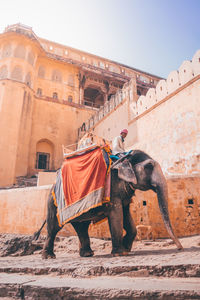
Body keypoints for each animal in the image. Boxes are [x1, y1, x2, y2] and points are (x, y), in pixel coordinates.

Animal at [34, 150, 183, 258]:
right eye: (149, 166)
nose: (180, 248)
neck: (123, 158)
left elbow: (127, 217)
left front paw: (126, 249)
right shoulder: (113, 189)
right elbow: (117, 216)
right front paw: (120, 253)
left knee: (82, 227)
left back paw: (87, 254)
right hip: (53, 203)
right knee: (54, 228)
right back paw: (49, 257)